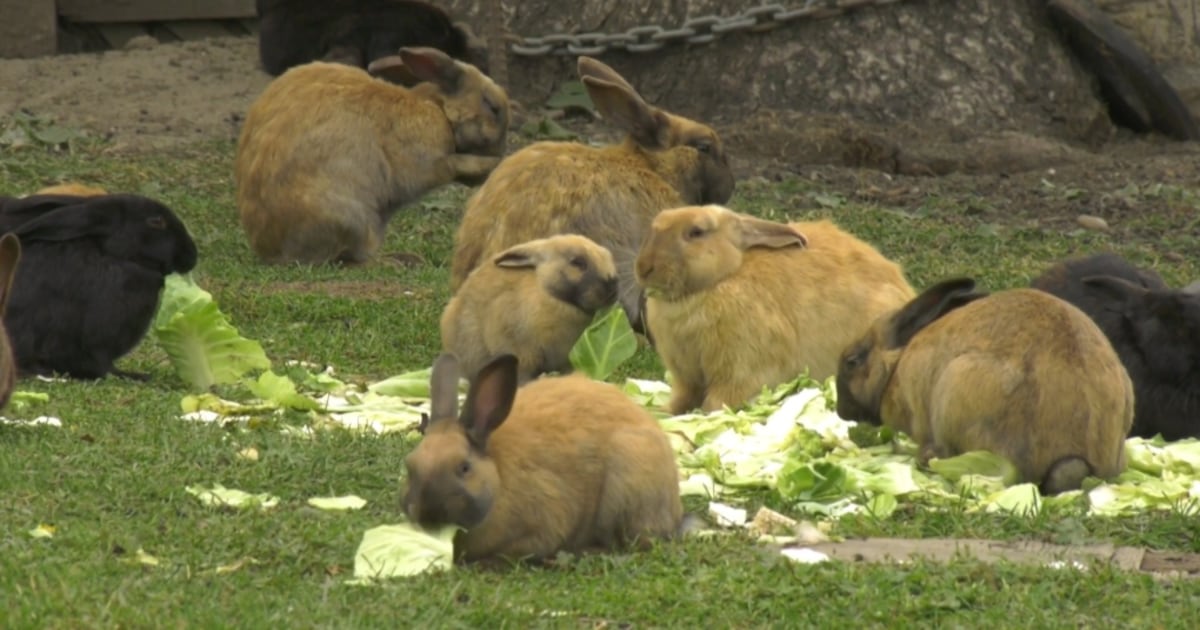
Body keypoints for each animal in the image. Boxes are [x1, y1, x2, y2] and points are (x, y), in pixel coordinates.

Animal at [235, 46, 510, 265]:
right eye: (492, 107)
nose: (500, 150)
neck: (438, 107)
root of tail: (273, 250)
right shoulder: (427, 163)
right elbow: (450, 165)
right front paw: (491, 164)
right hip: (353, 220)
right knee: (346, 259)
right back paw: (395, 262)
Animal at [402, 353, 684, 563]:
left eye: (464, 467)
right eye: (410, 466)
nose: (427, 516)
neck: (498, 477)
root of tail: (673, 510)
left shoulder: (543, 524)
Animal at [634, 204, 916, 415]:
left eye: (696, 232)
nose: (644, 268)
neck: (722, 277)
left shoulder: (740, 373)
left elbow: (717, 402)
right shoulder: (686, 377)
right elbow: (681, 400)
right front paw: (663, 414)